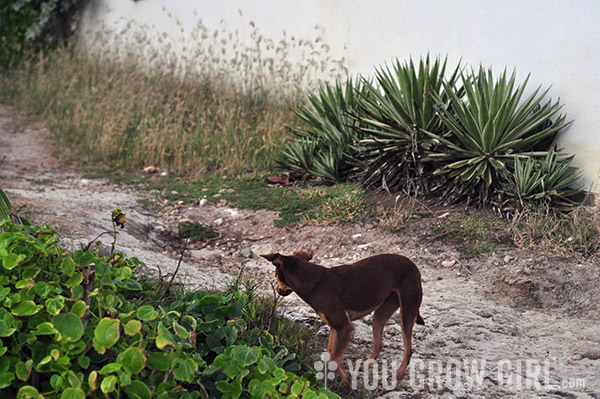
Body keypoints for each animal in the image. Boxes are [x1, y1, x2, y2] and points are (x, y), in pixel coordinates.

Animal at [260, 253, 424, 388]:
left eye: (276, 276)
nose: (278, 290)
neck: (313, 282)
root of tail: (413, 265)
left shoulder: (344, 326)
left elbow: (334, 359)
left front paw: (345, 383)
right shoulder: (335, 327)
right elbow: (331, 352)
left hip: (407, 312)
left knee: (408, 350)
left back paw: (398, 374)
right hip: (379, 315)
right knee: (378, 344)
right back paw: (366, 366)